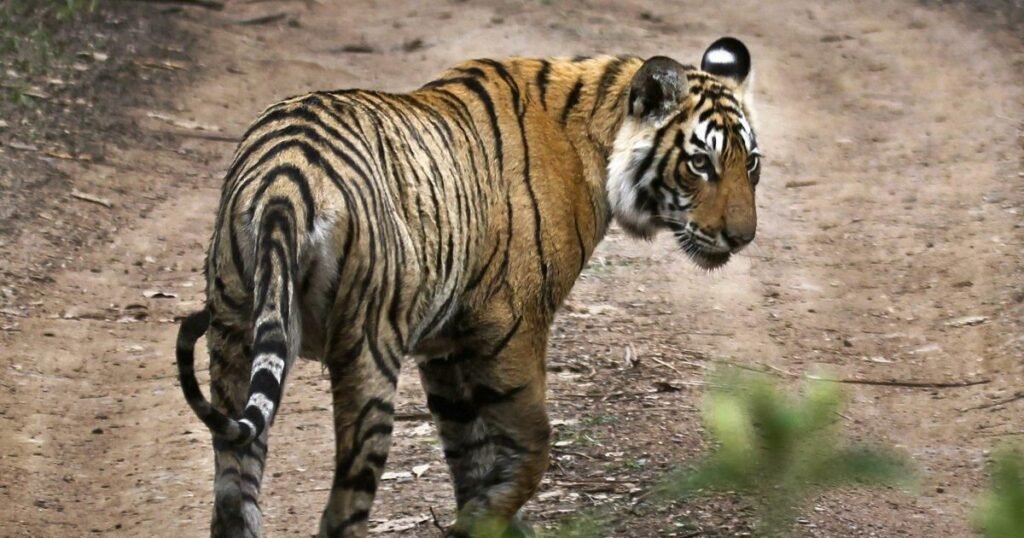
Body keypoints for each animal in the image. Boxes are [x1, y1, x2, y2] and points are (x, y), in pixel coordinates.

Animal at [175, 36, 760, 538]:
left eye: (750, 163)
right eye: (700, 163)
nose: (743, 237)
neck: (598, 131)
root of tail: (284, 180)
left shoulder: (444, 343)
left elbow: (469, 453)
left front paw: (486, 520)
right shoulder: (511, 325)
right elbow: (531, 445)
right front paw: (481, 519)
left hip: (234, 336)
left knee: (232, 498)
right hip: (367, 353)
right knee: (341, 513)